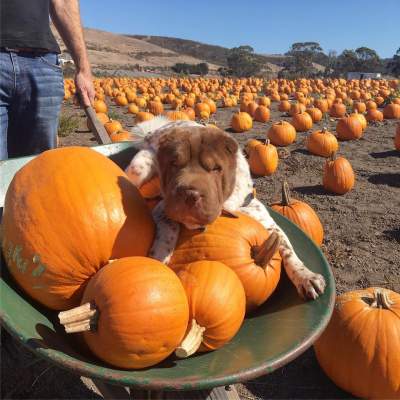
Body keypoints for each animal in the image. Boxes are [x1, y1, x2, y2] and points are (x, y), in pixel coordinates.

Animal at [126, 116, 326, 300]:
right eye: (174, 166)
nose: (188, 194)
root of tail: (159, 130)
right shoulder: (162, 208)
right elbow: (169, 229)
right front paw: (159, 256)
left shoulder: (269, 224)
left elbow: (288, 251)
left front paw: (306, 276)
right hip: (140, 167)